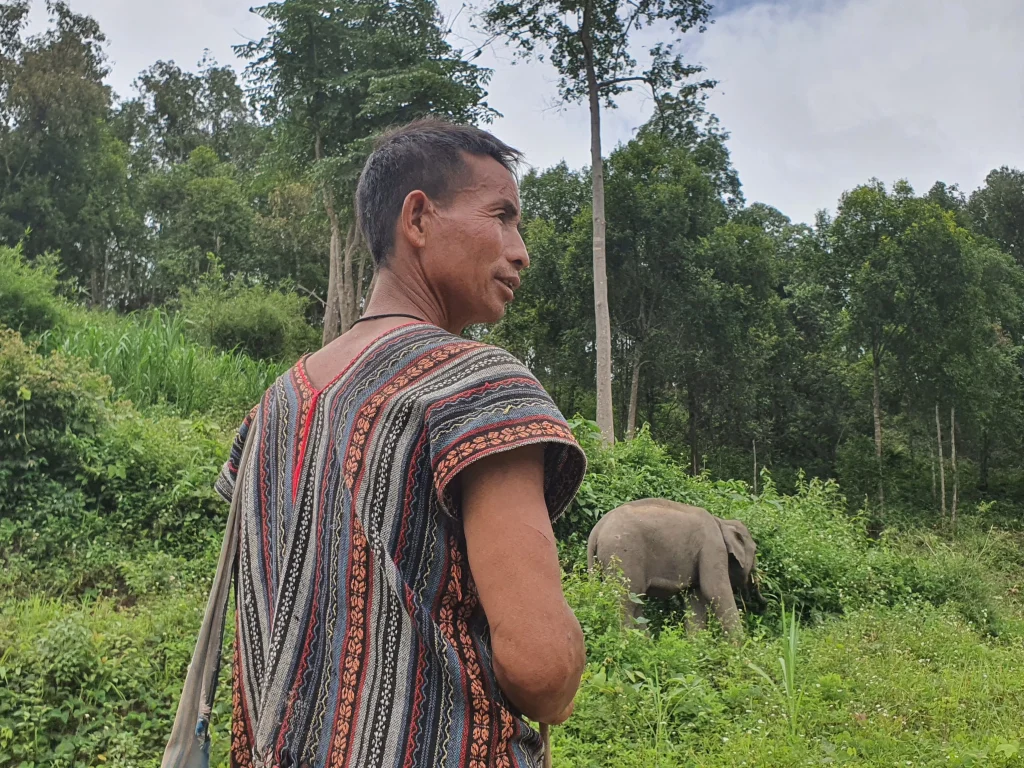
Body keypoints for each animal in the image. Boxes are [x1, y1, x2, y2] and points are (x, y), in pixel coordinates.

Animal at [587, 498, 763, 638]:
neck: (721, 521)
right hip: (623, 555)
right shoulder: (712, 547)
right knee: (626, 601)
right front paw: (740, 651)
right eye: (755, 551)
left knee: (635, 601)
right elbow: (715, 591)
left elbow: (695, 599)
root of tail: (596, 530)